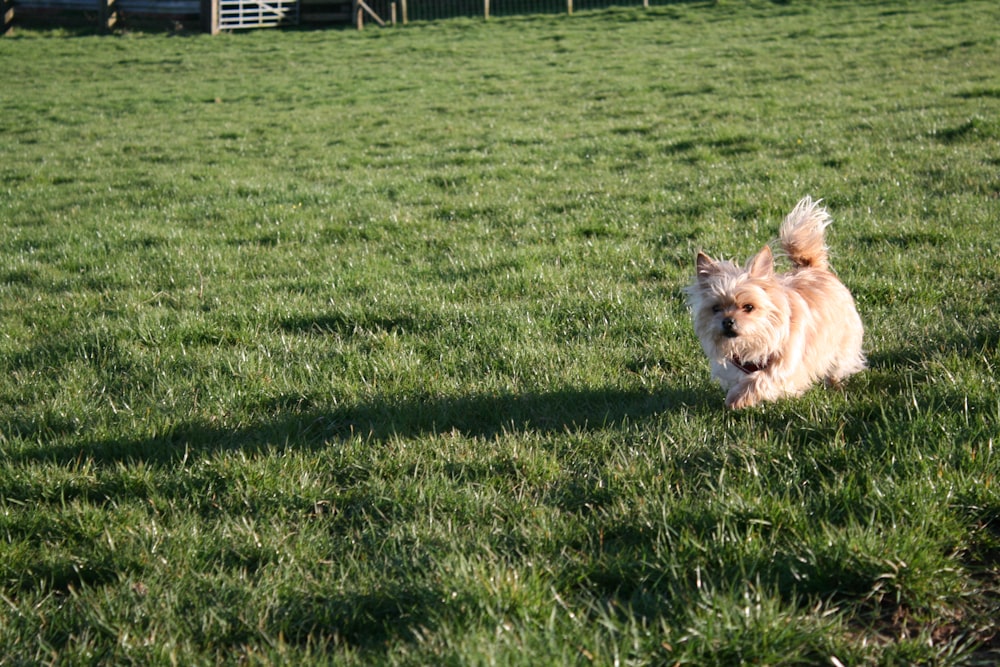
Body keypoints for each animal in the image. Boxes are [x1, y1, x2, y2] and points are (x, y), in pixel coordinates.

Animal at [684, 196, 864, 410]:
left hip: (842, 340)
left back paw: (835, 383)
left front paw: (736, 398)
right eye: (716, 308)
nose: (727, 321)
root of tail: (813, 267)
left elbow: (761, 379)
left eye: (749, 307)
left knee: (838, 364)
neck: (752, 345)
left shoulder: (786, 363)